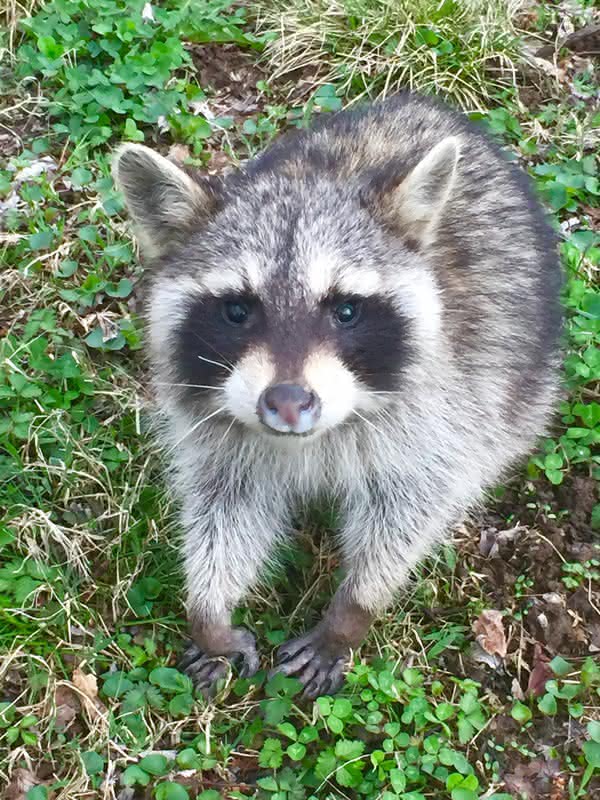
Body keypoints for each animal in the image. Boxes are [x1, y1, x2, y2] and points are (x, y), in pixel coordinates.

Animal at [113, 90, 564, 696]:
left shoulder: (445, 410)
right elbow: (225, 507)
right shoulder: (217, 434)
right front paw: (208, 607)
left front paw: (352, 613)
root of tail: (431, 106)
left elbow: (409, 510)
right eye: (237, 310)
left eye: (346, 310)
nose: (287, 402)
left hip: (520, 379)